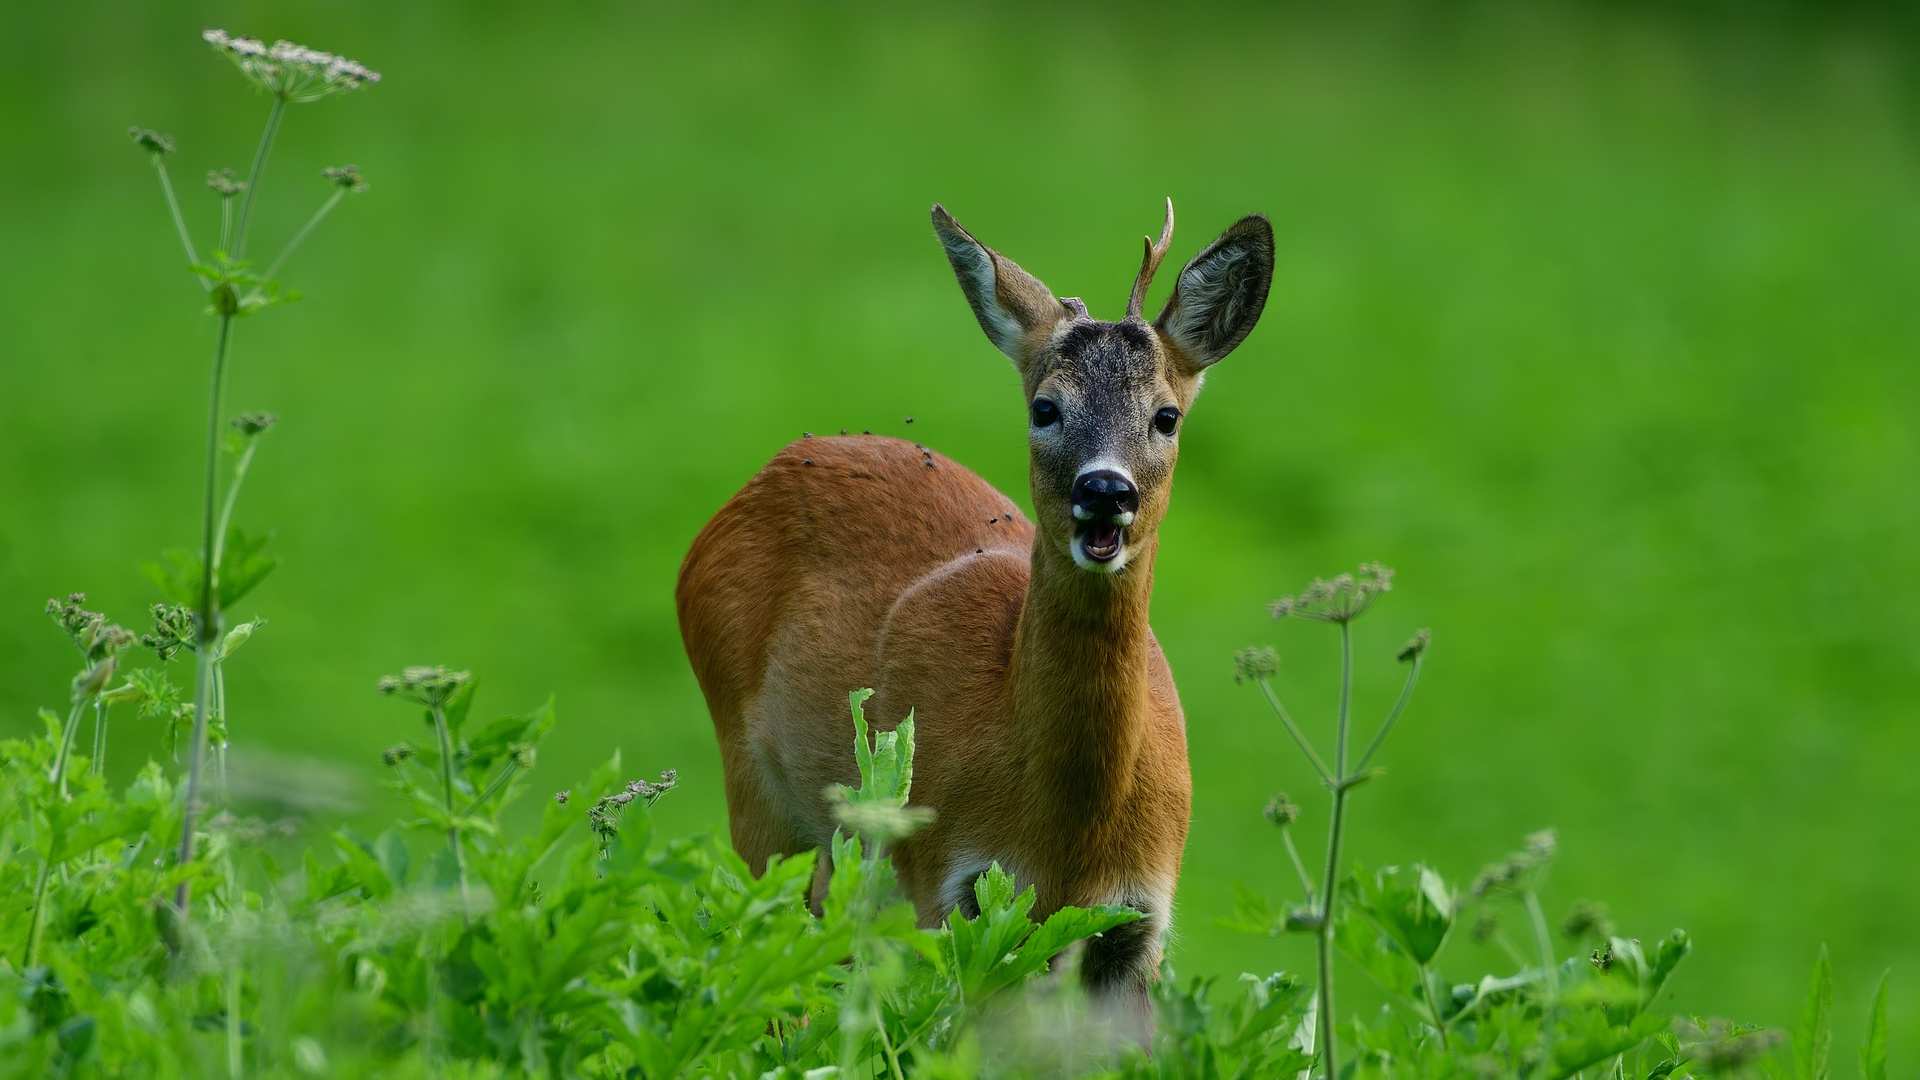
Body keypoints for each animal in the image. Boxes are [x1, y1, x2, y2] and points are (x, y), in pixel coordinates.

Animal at [675, 199, 1274, 1006]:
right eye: (1046, 408)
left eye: (1166, 416)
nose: (1105, 491)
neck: (1068, 831)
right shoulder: (951, 885)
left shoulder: (1134, 925)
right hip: (759, 788)